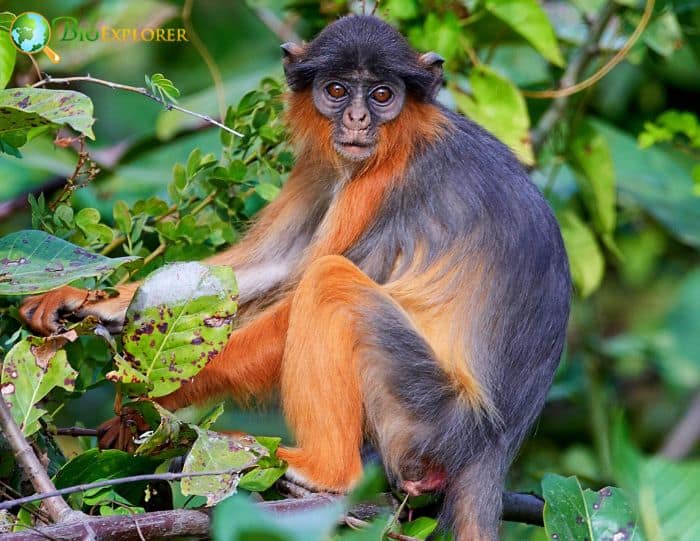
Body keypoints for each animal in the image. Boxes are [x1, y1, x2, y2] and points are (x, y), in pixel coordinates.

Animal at [20, 14, 568, 536]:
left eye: (383, 95)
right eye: (337, 91)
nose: (357, 119)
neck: (404, 136)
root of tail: (490, 447)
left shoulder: (376, 184)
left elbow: (301, 283)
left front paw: (149, 401)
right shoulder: (325, 161)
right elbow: (274, 264)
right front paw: (80, 297)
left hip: (428, 413)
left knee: (329, 281)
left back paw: (327, 471)